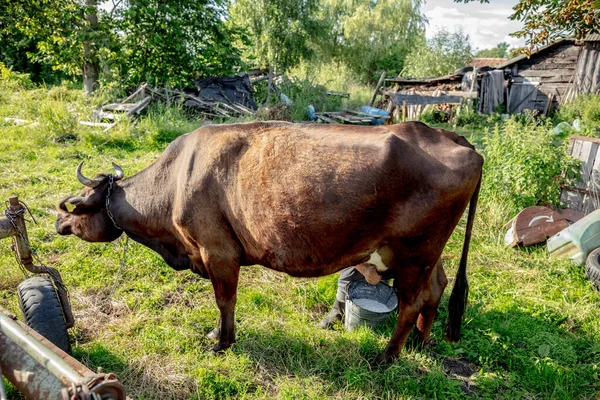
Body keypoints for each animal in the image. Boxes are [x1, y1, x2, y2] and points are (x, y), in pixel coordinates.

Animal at [55, 121, 482, 362]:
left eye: (76, 205)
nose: (58, 220)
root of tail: (453, 137)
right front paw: (216, 335)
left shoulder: (218, 251)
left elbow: (224, 300)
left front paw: (221, 343)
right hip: (427, 254)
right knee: (436, 288)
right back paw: (420, 345)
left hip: (414, 252)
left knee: (411, 304)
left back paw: (387, 357)